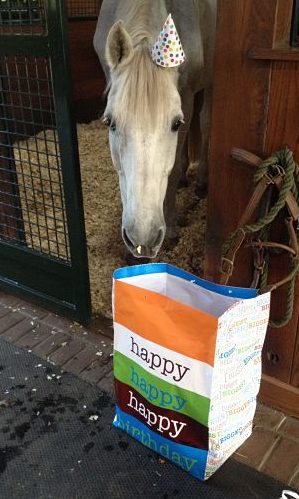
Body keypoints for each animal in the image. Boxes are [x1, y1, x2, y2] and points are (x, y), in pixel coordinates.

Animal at [94, 0, 218, 258]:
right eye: (109, 122)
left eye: (176, 123)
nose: (143, 238)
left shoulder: (187, 96)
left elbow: (173, 170)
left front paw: (170, 227)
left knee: (205, 120)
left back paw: (201, 181)